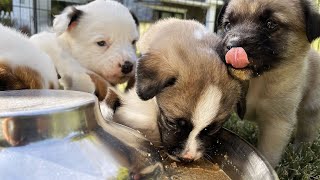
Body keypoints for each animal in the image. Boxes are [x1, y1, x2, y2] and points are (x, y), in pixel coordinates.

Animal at [216, 0, 320, 166]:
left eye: (271, 24)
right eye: (227, 25)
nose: (232, 45)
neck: (256, 80)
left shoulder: (276, 123)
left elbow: (268, 155)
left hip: (310, 110)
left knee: (306, 133)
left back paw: (299, 150)